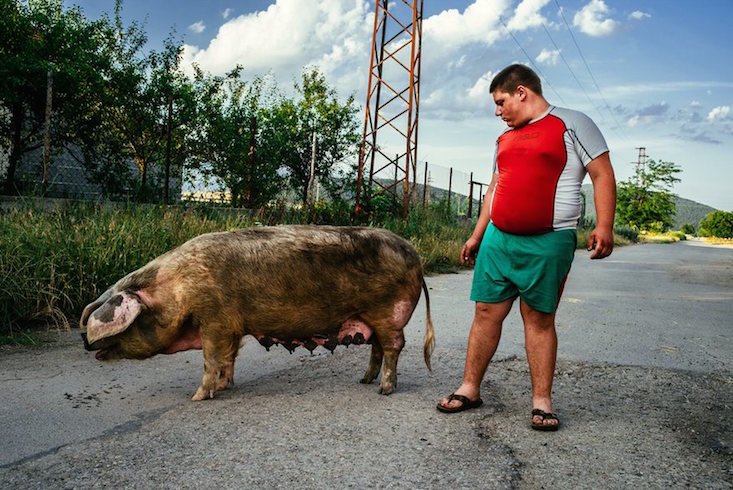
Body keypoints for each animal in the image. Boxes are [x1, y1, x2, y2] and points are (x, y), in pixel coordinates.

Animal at [80, 224, 434, 400]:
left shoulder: (215, 320)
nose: (83, 338)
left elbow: (211, 359)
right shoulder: (233, 327)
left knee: (393, 346)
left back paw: (384, 390)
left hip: (386, 311)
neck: (178, 289)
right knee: (377, 348)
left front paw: (196, 397)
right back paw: (363, 380)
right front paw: (226, 387)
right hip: (372, 318)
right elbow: (228, 359)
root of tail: (416, 257)